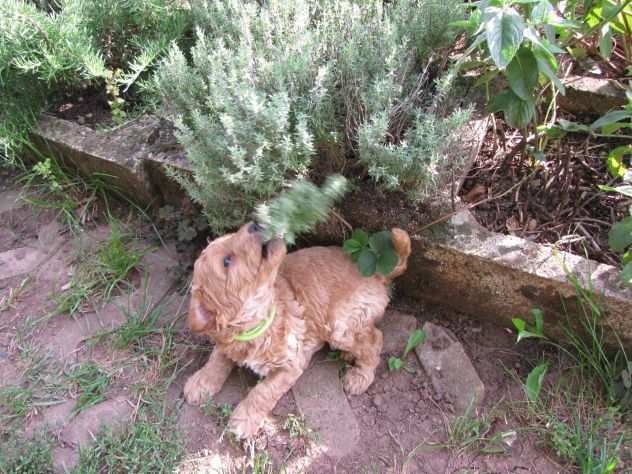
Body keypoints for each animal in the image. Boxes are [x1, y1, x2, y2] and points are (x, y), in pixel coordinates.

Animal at [184, 224, 410, 438]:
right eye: (227, 261)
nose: (254, 224)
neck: (257, 321)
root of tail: (377, 276)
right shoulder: (228, 342)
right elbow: (216, 359)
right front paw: (199, 383)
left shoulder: (290, 364)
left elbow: (262, 392)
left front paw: (243, 419)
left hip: (340, 326)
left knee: (374, 339)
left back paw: (359, 376)